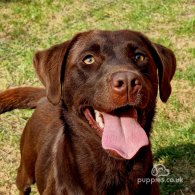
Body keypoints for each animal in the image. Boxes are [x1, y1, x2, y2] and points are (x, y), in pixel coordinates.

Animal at [0, 29, 176, 194]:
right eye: (89, 59)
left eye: (139, 57)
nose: (127, 81)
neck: (112, 166)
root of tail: (46, 97)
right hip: (26, 168)